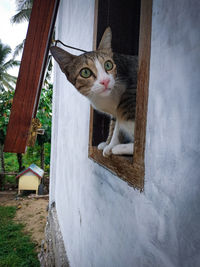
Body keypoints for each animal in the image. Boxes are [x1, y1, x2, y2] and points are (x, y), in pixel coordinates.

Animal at [50, 27, 138, 157]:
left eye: (108, 65)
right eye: (85, 72)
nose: (105, 81)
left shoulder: (121, 101)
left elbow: (117, 126)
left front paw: (111, 146)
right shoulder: (113, 112)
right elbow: (114, 123)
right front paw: (107, 143)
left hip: (127, 99)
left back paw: (120, 148)